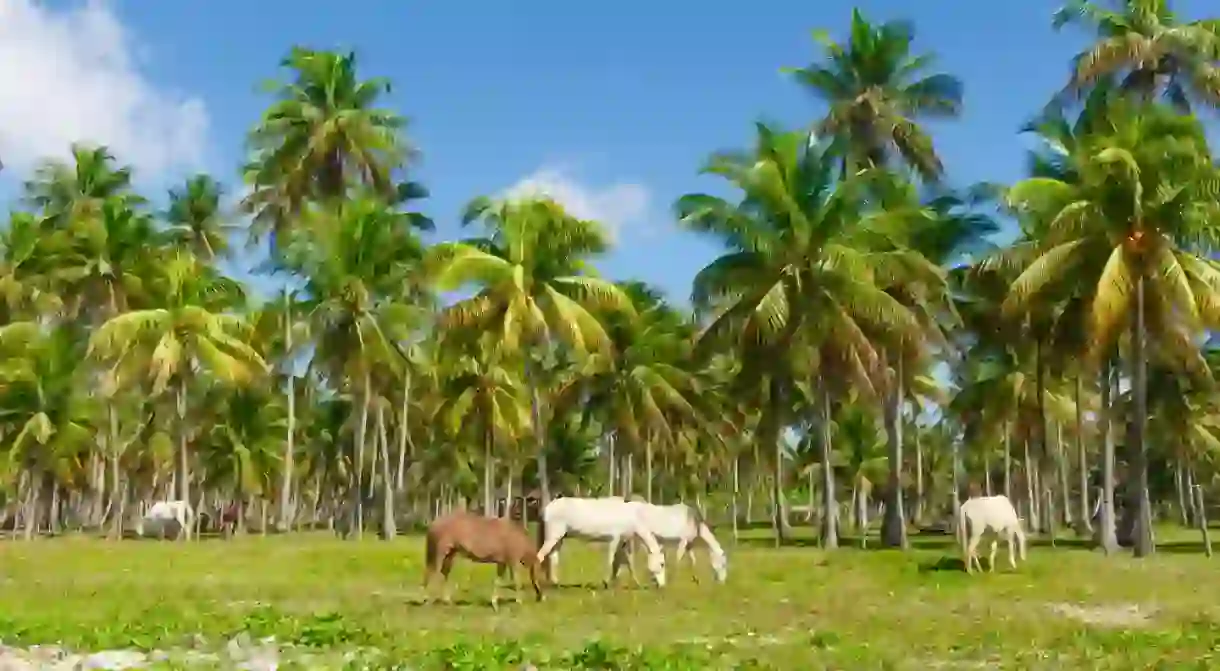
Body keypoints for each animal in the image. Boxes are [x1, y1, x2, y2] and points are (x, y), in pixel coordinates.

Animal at [536, 497, 668, 592]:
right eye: (662, 564)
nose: (662, 586)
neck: (631, 517)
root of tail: (547, 508)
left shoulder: (622, 543)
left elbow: (627, 563)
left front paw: (637, 583)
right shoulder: (614, 539)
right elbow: (611, 560)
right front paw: (606, 582)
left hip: (559, 539)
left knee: (553, 558)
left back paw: (556, 583)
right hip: (553, 537)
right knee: (540, 556)